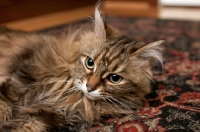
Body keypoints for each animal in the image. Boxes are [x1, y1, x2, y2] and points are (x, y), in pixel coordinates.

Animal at [0, 3, 164, 132]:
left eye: (114, 78)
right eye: (90, 63)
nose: (89, 87)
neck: (69, 91)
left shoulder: (47, 113)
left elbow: (20, 125)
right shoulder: (20, 81)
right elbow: (4, 106)